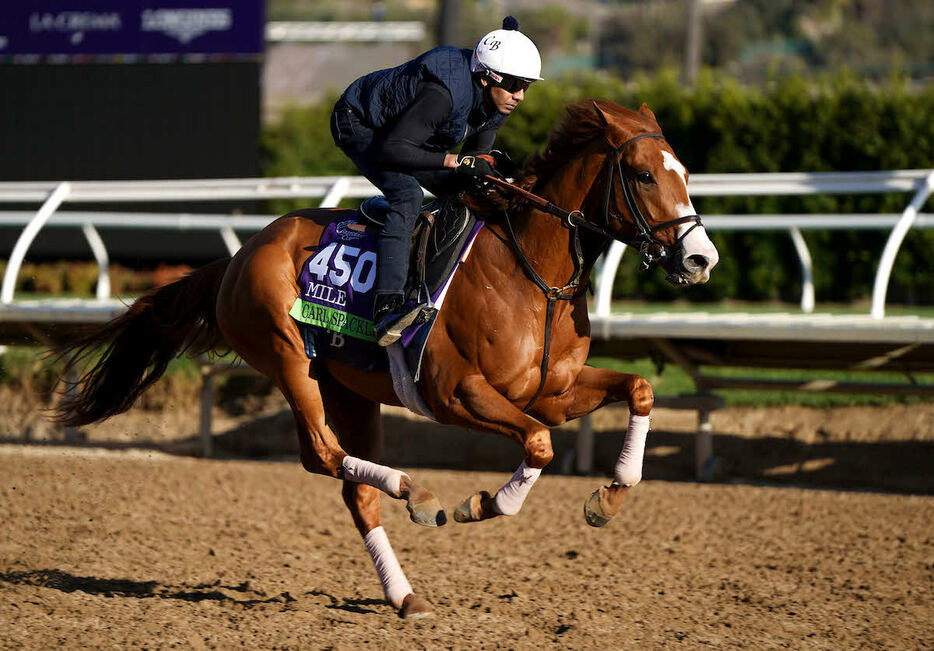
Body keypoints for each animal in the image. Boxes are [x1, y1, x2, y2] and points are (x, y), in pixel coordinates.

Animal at [54, 99, 720, 620]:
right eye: (642, 175)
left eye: (686, 173)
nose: (700, 258)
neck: (531, 273)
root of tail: (238, 256)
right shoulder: (456, 393)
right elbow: (537, 445)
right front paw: (484, 503)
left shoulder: (550, 394)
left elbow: (638, 389)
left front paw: (611, 493)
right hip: (287, 357)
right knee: (323, 454)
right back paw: (413, 491)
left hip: (348, 389)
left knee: (353, 490)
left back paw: (405, 594)